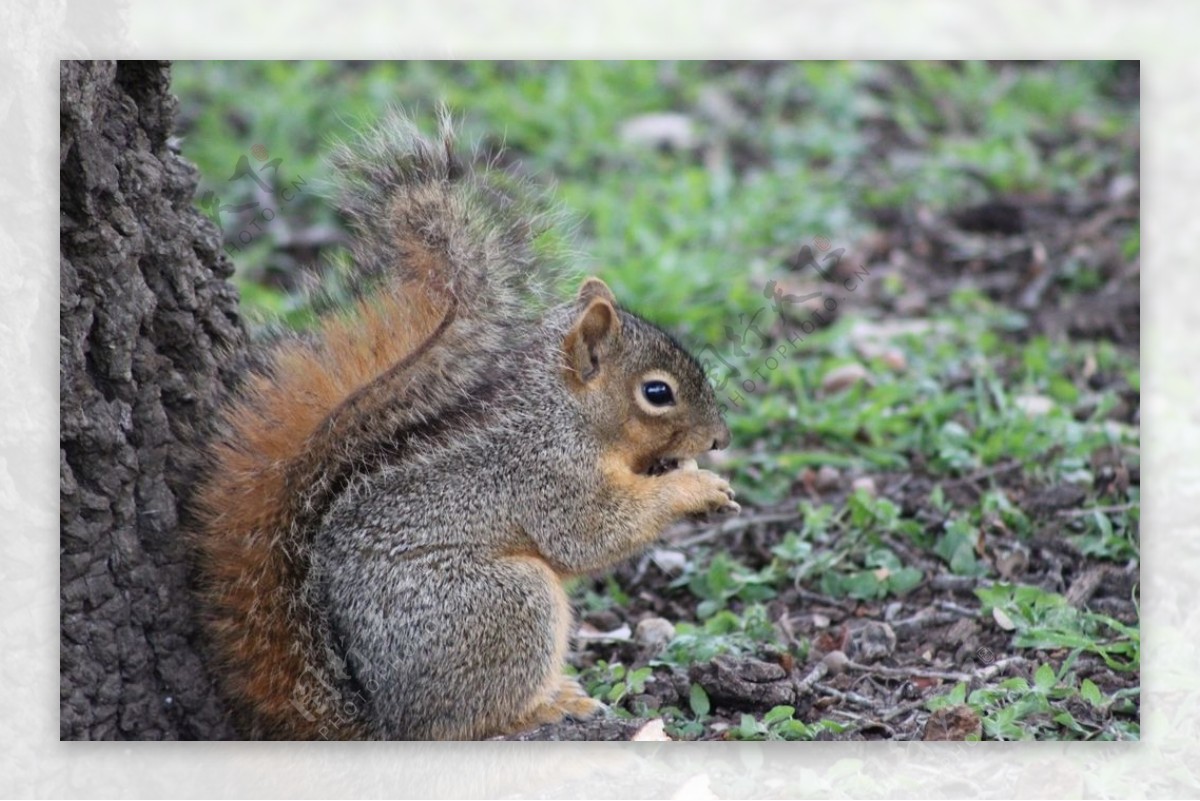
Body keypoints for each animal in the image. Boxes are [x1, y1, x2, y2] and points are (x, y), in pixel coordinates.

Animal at [194, 110, 739, 738]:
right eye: (657, 393)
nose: (720, 439)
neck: (565, 414)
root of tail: (384, 719)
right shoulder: (549, 477)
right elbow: (591, 535)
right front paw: (694, 487)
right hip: (505, 604)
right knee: (467, 721)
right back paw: (549, 705)